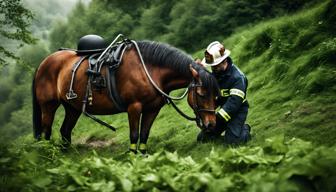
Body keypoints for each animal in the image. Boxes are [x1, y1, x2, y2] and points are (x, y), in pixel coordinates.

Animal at [32, 39, 220, 154]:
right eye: (201, 94)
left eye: (216, 96)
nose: (211, 124)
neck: (148, 70)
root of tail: (43, 63)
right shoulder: (134, 107)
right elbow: (134, 135)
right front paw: (132, 157)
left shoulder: (152, 110)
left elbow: (144, 134)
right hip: (48, 107)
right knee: (46, 132)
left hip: (73, 108)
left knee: (65, 131)